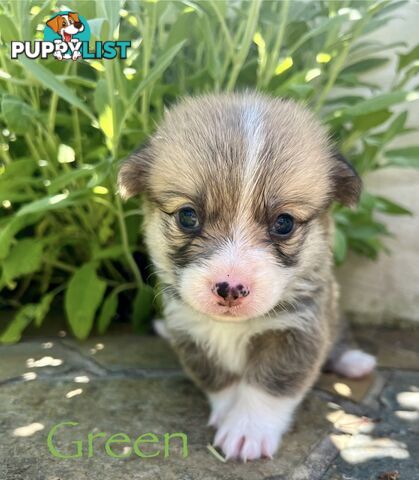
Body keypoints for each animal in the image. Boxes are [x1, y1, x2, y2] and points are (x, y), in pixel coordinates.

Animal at [116, 93, 376, 462]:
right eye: (187, 216)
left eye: (284, 223)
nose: (230, 288)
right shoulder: (192, 335)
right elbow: (220, 381)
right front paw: (228, 412)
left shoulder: (296, 331)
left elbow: (267, 386)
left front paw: (247, 430)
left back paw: (355, 361)